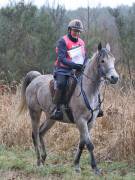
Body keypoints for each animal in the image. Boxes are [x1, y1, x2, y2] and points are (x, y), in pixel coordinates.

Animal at [18, 42, 119, 174]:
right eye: (102, 61)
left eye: (113, 60)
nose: (114, 78)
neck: (88, 90)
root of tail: (35, 79)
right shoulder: (81, 121)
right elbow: (89, 144)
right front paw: (95, 168)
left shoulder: (90, 122)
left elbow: (82, 143)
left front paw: (76, 165)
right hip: (35, 113)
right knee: (35, 134)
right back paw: (39, 161)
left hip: (51, 118)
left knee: (41, 132)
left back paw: (44, 158)